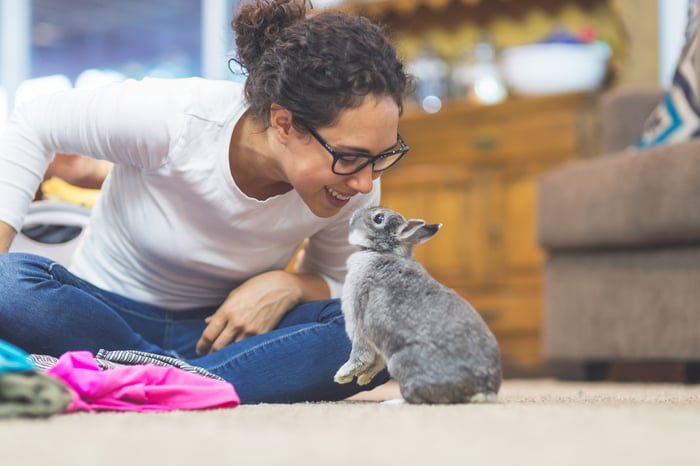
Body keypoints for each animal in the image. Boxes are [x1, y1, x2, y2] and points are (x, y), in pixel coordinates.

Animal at [334, 206, 501, 404]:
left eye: (379, 218)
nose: (355, 212)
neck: (380, 251)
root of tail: (482, 390)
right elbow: (377, 362)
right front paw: (363, 379)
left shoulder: (358, 324)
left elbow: (361, 356)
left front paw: (341, 376)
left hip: (400, 363)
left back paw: (393, 402)